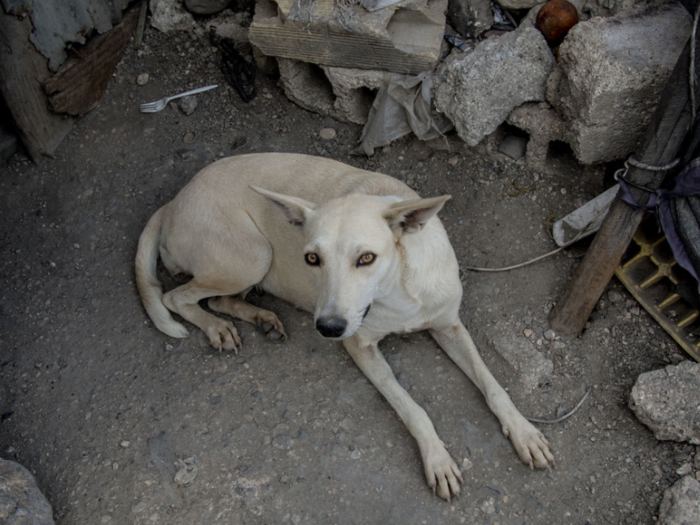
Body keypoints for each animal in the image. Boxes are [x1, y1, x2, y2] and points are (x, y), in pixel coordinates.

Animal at [135, 152, 552, 500]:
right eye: (311, 258)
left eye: (366, 258)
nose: (328, 328)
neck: (396, 289)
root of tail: (173, 202)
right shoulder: (361, 347)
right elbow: (412, 408)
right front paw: (437, 458)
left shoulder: (449, 326)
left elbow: (493, 385)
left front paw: (524, 432)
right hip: (251, 256)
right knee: (176, 298)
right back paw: (216, 328)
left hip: (250, 264)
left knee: (216, 299)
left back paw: (261, 319)